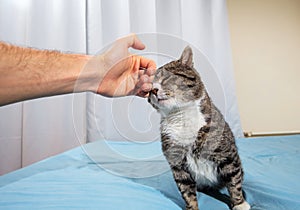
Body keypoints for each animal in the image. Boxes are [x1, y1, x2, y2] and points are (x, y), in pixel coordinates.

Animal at [148, 46, 251, 210]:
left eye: (166, 78)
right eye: (148, 86)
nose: (153, 90)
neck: (181, 116)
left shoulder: (227, 155)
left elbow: (234, 181)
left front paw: (239, 203)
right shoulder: (177, 164)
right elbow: (187, 191)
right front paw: (192, 206)